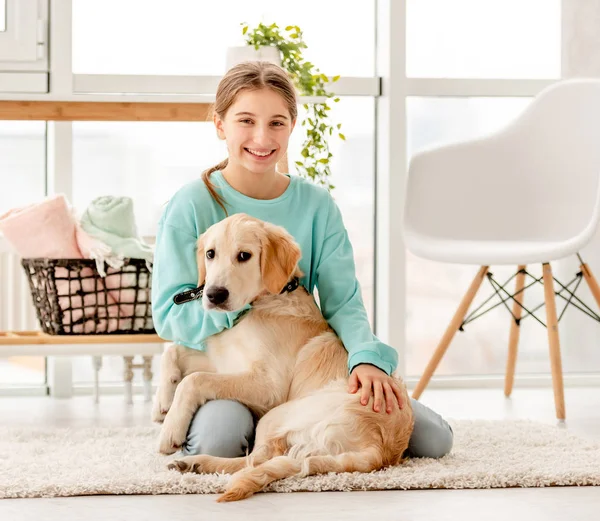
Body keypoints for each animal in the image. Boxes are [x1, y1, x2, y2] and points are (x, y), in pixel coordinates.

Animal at [155, 213, 412, 502]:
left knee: (255, 460)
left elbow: (195, 380)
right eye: (210, 254)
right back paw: (193, 464)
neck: (261, 303)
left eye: (244, 256)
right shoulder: (223, 359)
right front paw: (163, 401)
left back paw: (198, 462)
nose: (214, 295)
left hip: (278, 414)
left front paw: (170, 430)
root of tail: (380, 449)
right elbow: (173, 352)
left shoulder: (269, 387)